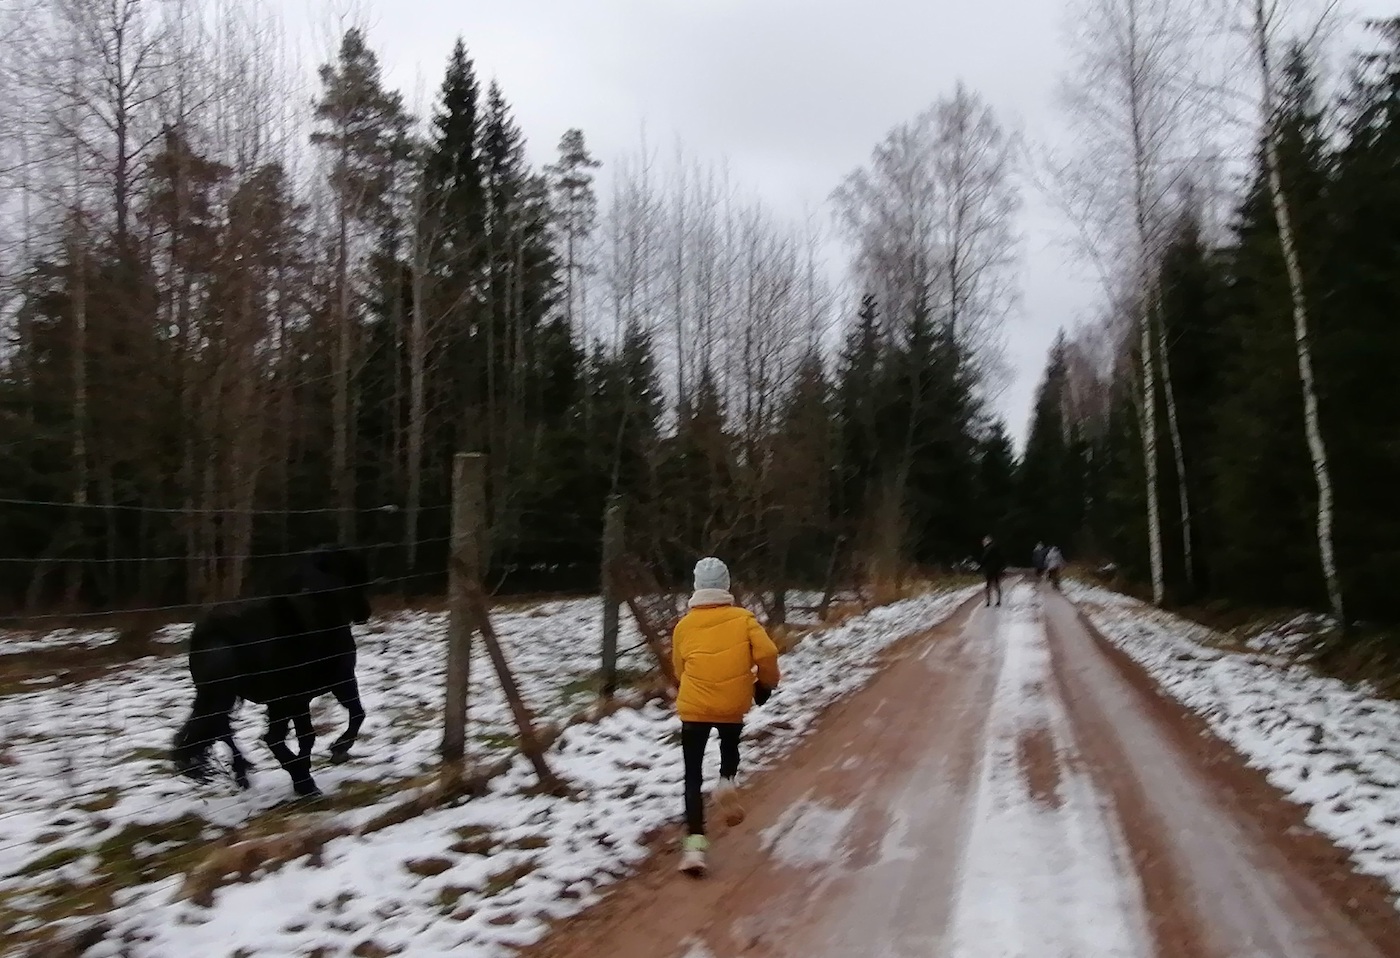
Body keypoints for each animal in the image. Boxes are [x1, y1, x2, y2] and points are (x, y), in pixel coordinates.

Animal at [170, 543, 372, 795]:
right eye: (354, 575)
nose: (365, 613)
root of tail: (207, 633)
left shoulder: (324, 689)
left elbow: (349, 717)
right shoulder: (309, 693)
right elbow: (313, 732)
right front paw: (312, 772)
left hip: (226, 698)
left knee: (221, 730)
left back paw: (244, 774)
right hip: (244, 698)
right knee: (242, 733)